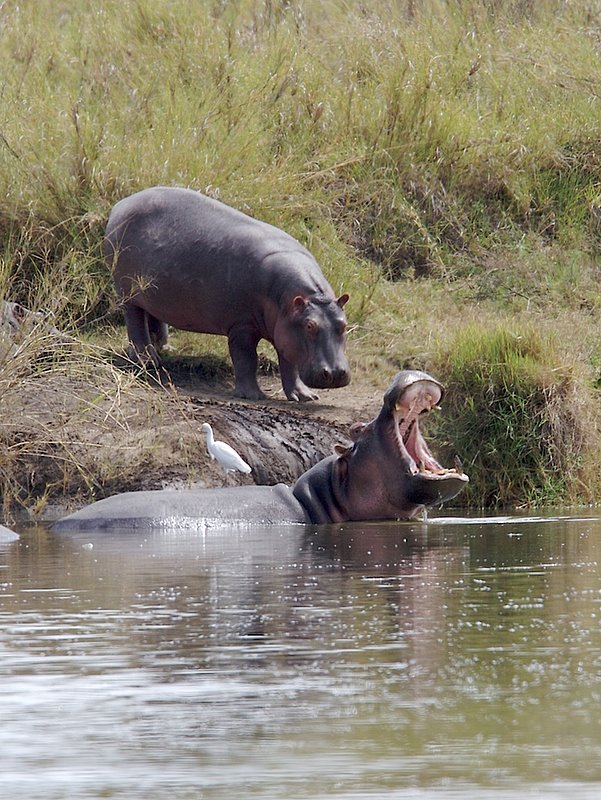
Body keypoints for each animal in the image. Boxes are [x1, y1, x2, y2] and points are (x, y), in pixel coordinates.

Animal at [105, 186, 350, 401]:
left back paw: (164, 347)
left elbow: (290, 365)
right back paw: (148, 359)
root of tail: (121, 204)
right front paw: (253, 396)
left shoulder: (286, 330)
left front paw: (304, 397)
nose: (336, 374)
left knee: (155, 315)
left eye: (344, 325)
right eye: (309, 326)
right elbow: (246, 359)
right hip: (127, 291)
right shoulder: (242, 326)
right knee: (135, 321)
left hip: (155, 293)